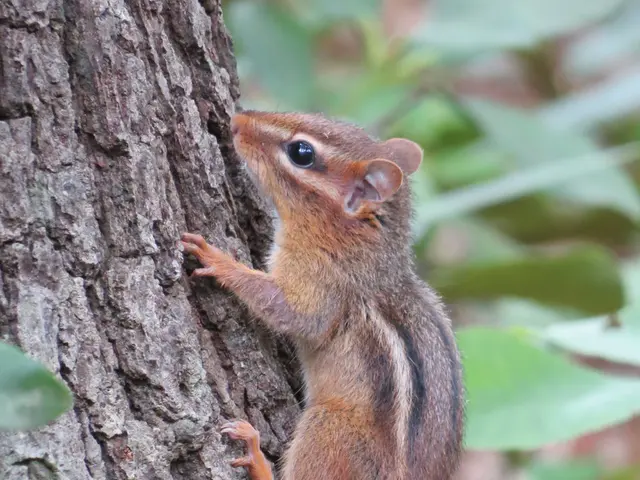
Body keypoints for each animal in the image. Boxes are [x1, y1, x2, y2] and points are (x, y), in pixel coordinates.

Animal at [180, 110, 464, 480]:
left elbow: (290, 311)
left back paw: (255, 455)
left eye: (302, 152)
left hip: (327, 427)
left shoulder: (323, 280)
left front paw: (219, 261)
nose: (237, 120)